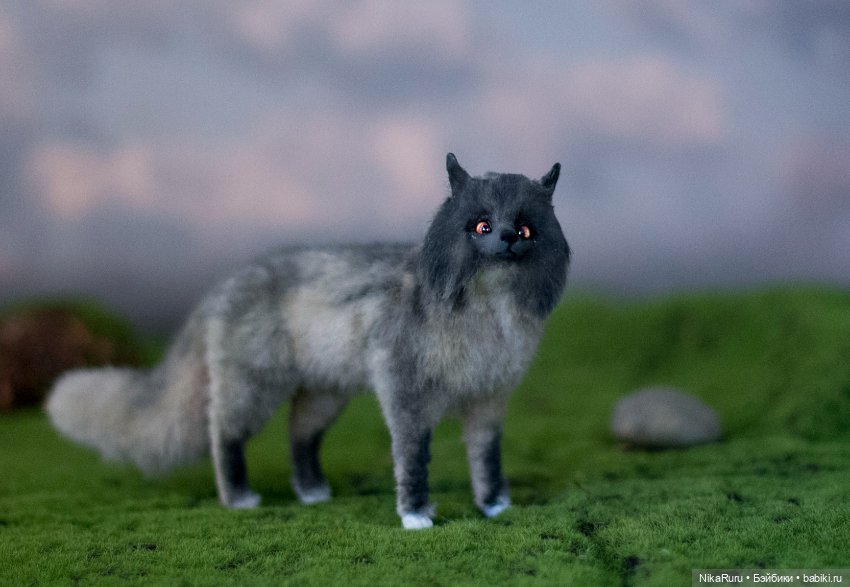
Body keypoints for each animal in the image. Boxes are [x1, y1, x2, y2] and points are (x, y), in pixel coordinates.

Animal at [46, 153, 570, 529]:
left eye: (525, 227)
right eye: (482, 226)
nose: (507, 239)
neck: (490, 317)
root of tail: (224, 285)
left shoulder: (488, 399)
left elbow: (487, 460)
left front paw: (495, 505)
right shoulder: (406, 395)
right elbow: (412, 460)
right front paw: (416, 515)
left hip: (323, 394)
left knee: (298, 437)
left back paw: (312, 492)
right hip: (252, 389)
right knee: (224, 436)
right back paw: (239, 498)